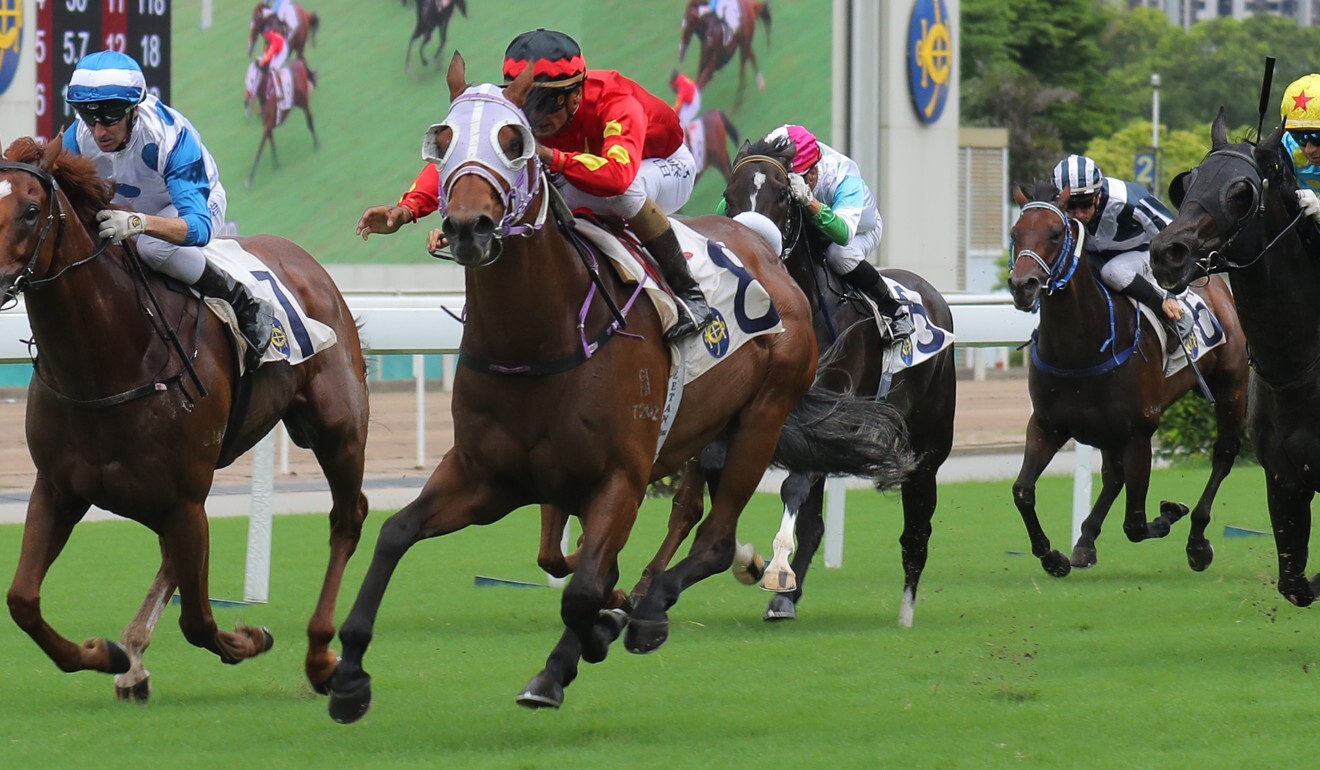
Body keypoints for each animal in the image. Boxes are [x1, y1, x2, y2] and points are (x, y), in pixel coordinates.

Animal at [1, 135, 372, 702]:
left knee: (347, 519)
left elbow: (198, 621)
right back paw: (132, 659)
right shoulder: (59, 487)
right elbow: (22, 600)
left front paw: (248, 637)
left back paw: (320, 657)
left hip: (337, 430)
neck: (110, 360)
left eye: (29, 210)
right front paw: (107, 654)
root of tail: (306, 261)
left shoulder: (185, 498)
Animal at [248, 57, 319, 188]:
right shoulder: (267, 125)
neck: (267, 95)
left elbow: (260, 148)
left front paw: (250, 179)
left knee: (309, 120)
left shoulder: (268, 125)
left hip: (304, 102)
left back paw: (317, 144)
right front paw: (276, 165)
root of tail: (299, 62)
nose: (249, 96)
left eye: (253, 78)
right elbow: (271, 143)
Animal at [324, 54, 913, 723]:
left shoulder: (620, 478)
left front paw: (591, 638)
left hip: (759, 420)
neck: (537, 339)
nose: (467, 225)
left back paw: (655, 606)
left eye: (514, 141)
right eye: (441, 141)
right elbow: (397, 535)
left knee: (714, 539)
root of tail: (764, 250)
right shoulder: (483, 475)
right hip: (704, 432)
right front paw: (348, 674)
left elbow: (582, 593)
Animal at [1008, 180, 1246, 578]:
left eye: (1055, 233)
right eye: (1015, 233)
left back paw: (1197, 541)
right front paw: (1052, 556)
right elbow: (1023, 491)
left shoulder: (1139, 431)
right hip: (1104, 429)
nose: (1022, 285)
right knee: (1112, 476)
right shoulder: (1046, 424)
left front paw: (1169, 513)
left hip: (1232, 388)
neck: (1081, 348)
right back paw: (1085, 540)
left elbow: (1135, 523)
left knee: (1223, 456)